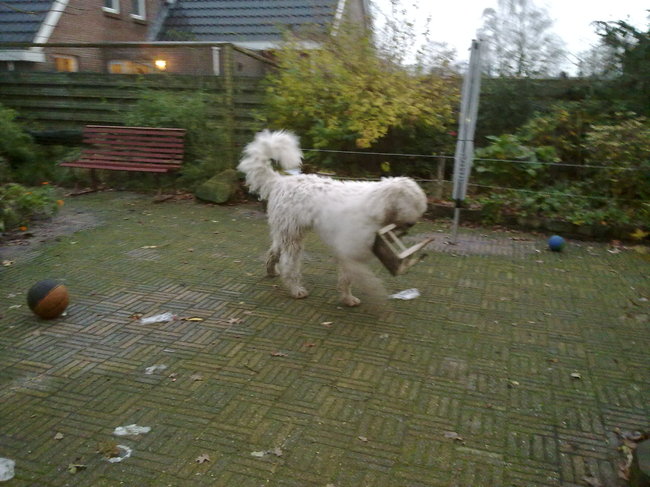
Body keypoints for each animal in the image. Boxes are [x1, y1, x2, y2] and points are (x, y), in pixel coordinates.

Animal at [237, 130, 428, 306]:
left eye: (419, 204)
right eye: (409, 202)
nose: (412, 223)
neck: (375, 205)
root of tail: (280, 181)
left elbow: (348, 275)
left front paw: (347, 297)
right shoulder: (349, 249)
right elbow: (352, 276)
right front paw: (350, 298)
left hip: (285, 232)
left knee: (273, 251)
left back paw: (271, 271)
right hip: (293, 238)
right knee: (289, 264)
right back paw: (296, 289)